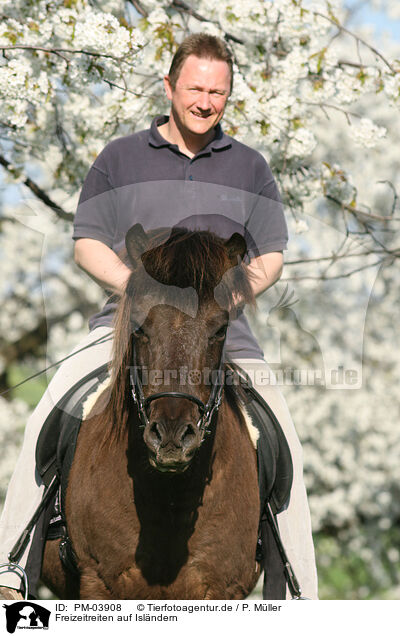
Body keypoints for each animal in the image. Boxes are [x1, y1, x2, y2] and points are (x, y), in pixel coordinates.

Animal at [40, 225, 260, 600]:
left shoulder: (222, 589)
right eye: (139, 326)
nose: (171, 437)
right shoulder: (97, 583)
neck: (170, 501)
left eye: (220, 329)